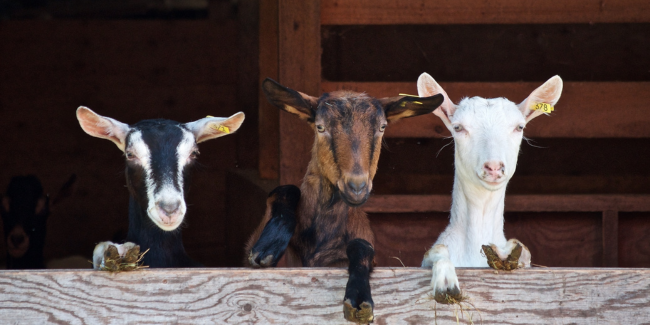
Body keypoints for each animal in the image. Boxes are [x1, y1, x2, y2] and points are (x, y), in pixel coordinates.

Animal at [246, 78, 442, 322]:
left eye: (382, 127)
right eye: (320, 127)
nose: (356, 187)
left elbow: (362, 246)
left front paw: (359, 298)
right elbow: (285, 190)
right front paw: (268, 246)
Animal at [416, 72, 560, 300]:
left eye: (519, 127)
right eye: (458, 127)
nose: (493, 167)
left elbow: (524, 251)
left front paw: (505, 253)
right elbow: (436, 250)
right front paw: (446, 282)